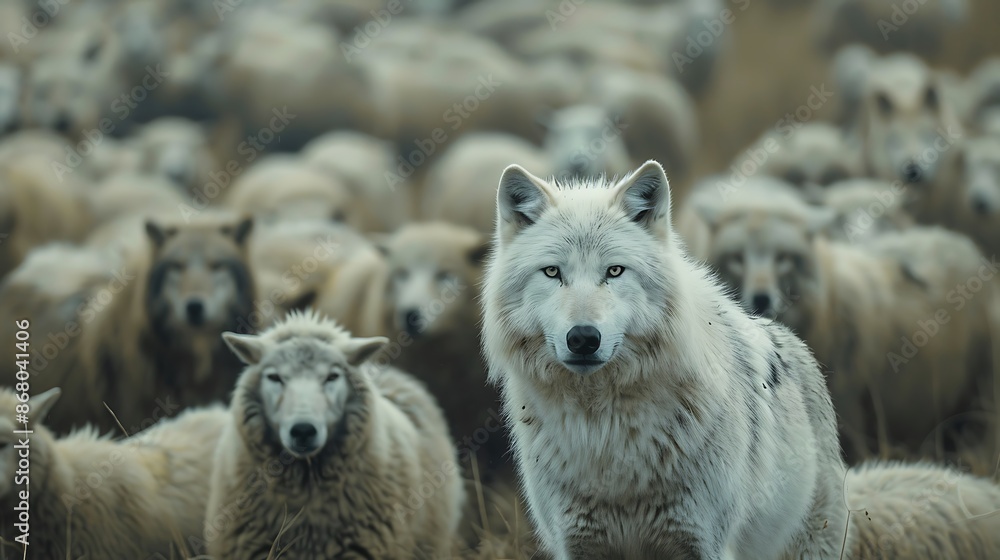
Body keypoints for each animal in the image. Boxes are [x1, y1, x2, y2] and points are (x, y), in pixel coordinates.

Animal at [480, 161, 849, 559]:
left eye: (614, 271)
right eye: (552, 272)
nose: (583, 338)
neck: (605, 429)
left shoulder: (703, 543)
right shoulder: (577, 545)